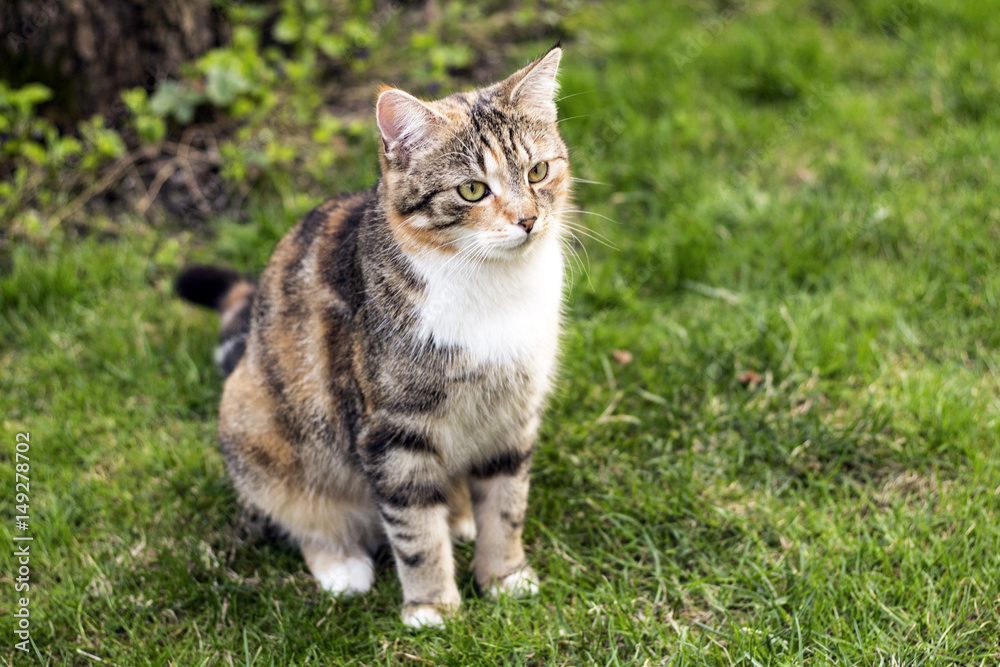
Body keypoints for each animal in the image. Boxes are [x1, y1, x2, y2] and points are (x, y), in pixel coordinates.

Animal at [175, 45, 572, 628]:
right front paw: (432, 607)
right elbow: (414, 530)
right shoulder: (392, 430)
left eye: (539, 171)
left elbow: (506, 503)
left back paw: (460, 518)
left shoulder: (513, 413)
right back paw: (341, 563)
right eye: (472, 189)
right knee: (302, 514)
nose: (528, 220)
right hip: (259, 426)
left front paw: (504, 576)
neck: (494, 288)